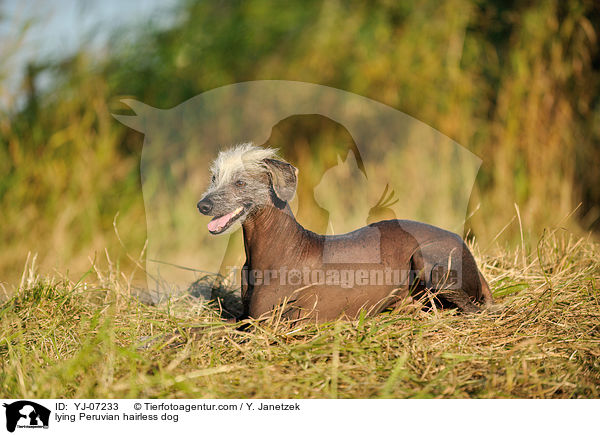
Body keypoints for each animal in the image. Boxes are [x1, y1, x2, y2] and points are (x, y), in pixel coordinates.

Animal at [197, 145, 492, 322]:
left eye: (240, 183)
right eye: (214, 178)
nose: (202, 205)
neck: (282, 246)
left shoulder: (262, 322)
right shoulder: (245, 316)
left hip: (427, 261)